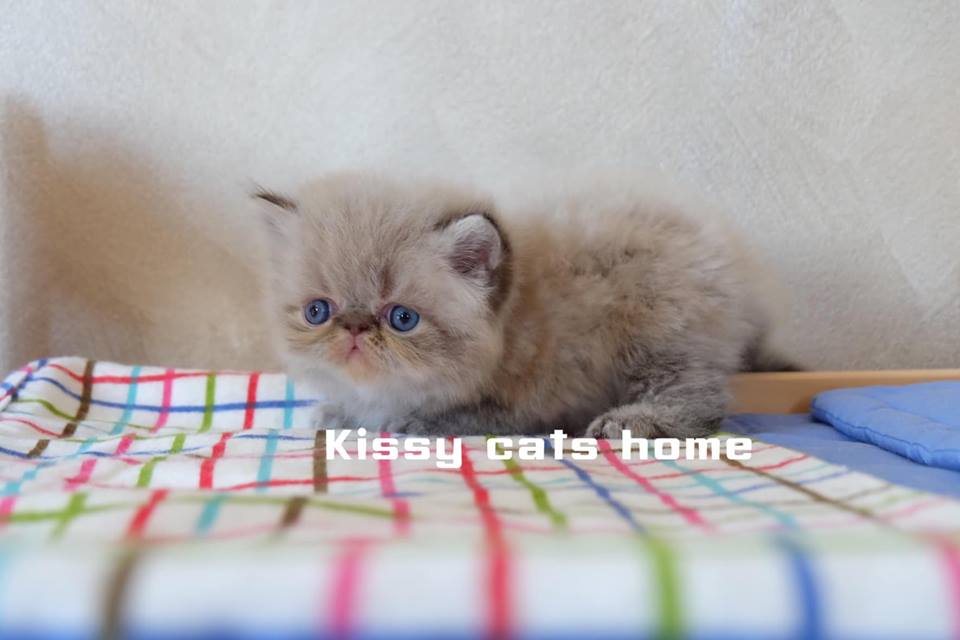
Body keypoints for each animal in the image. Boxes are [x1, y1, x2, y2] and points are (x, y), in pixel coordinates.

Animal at [256, 171, 794, 438]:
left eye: (402, 319)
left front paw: (398, 421)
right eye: (318, 312)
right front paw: (338, 411)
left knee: (699, 395)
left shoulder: (529, 402)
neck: (513, 317)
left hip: (660, 328)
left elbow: (449, 417)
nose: (353, 329)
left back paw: (635, 421)